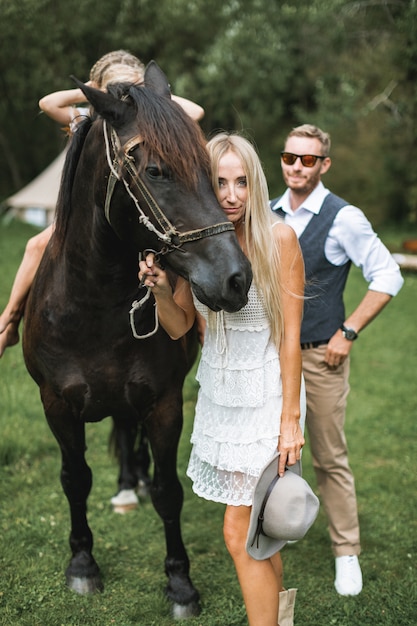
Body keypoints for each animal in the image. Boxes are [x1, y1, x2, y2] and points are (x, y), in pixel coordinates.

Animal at [22, 61, 250, 616]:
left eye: (210, 170)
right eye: (155, 171)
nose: (236, 279)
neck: (94, 307)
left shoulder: (163, 402)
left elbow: (170, 490)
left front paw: (180, 584)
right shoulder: (56, 405)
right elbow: (75, 480)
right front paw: (83, 564)